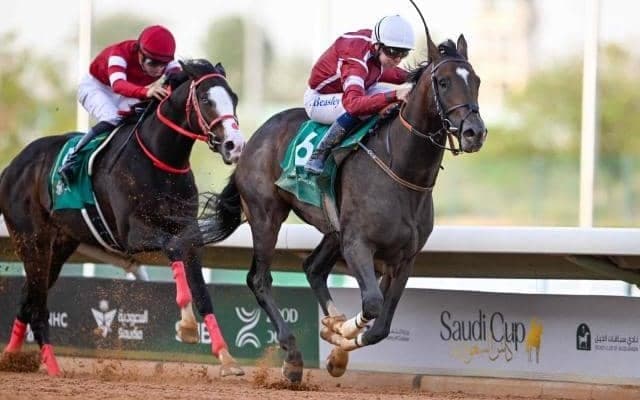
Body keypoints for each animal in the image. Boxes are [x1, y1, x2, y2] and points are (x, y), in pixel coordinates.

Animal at [0, 59, 246, 377]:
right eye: (206, 99)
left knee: (27, 298)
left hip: (59, 245)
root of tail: (12, 166)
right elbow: (173, 246)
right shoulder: (132, 235)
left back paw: (12, 356)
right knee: (38, 304)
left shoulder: (189, 232)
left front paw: (226, 358)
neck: (159, 158)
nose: (234, 145)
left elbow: (202, 291)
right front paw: (187, 325)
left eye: (234, 98)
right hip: (30, 240)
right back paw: (53, 367)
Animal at [197, 29, 487, 382]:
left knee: (313, 268)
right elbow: (372, 304)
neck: (401, 170)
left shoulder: (404, 258)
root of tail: (250, 140)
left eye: (476, 80)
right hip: (266, 216)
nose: (475, 132)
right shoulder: (358, 243)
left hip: (333, 230)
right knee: (259, 279)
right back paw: (293, 356)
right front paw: (339, 335)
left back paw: (331, 323)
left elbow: (381, 326)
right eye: (443, 82)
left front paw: (337, 346)